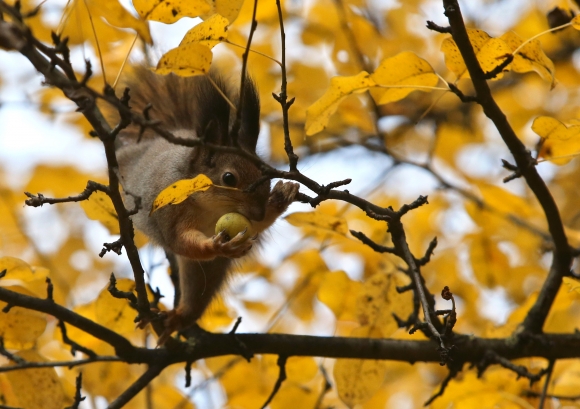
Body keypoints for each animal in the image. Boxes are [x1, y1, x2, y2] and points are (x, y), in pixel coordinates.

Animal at [116, 66, 302, 342]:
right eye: (229, 178)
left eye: (265, 173)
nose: (258, 212)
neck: (211, 209)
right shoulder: (170, 213)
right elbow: (180, 241)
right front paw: (215, 245)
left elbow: (258, 226)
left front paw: (280, 198)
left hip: (209, 272)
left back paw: (180, 317)